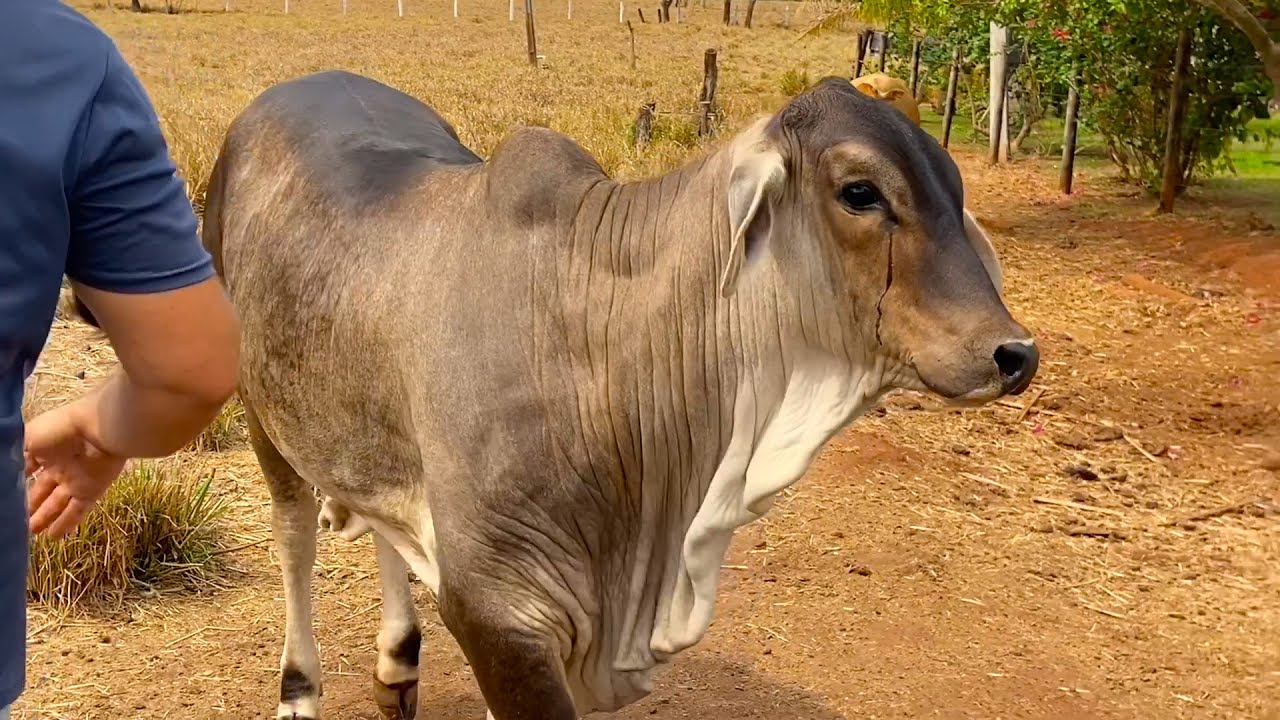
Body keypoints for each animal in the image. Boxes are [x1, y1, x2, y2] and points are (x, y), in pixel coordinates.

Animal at [201, 69, 1038, 720]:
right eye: (859, 192)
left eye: (952, 185)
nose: (1014, 353)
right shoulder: (497, 616)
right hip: (261, 411)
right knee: (294, 534)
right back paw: (300, 689)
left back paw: (397, 663)